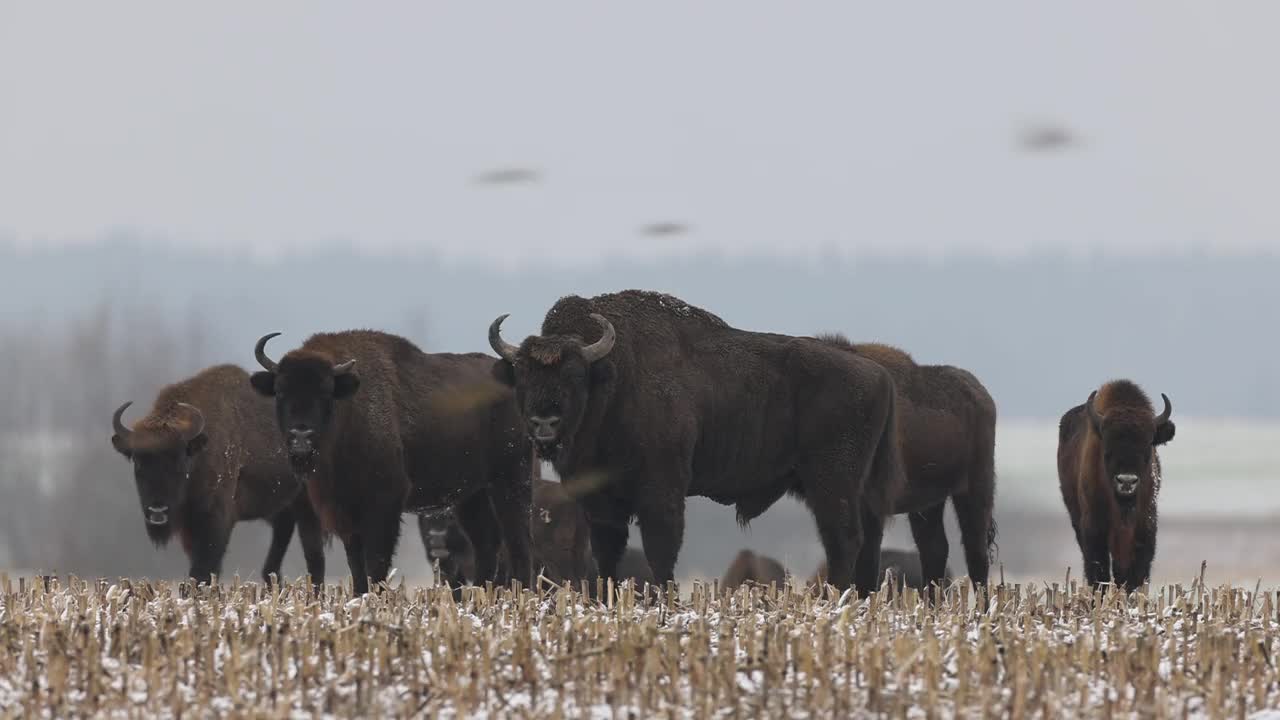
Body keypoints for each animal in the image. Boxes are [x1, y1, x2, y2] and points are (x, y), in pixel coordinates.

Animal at [110, 361, 327, 586]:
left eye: (180, 460)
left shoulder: (216, 521)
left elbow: (203, 571)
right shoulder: (190, 529)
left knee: (314, 555)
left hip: (306, 506)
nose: (157, 511)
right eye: (137, 461)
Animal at [249, 327, 535, 591]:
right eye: (280, 391)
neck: (350, 408)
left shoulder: (385, 503)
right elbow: (356, 565)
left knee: (518, 540)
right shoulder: (347, 513)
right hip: (472, 495)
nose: (301, 437)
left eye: (326, 392)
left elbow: (376, 562)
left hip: (510, 479)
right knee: (486, 544)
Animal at [483, 288, 906, 591]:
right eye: (523, 376)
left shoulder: (661, 489)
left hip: (831, 483)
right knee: (867, 541)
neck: (614, 377)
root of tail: (878, 374)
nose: (544, 423)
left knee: (844, 539)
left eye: (574, 376)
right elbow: (606, 554)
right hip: (857, 489)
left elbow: (661, 547)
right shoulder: (600, 502)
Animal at [1054, 379, 1172, 591]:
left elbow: (1136, 575)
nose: (1126, 481)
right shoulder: (1094, 530)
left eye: (1147, 447)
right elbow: (1099, 573)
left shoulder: (1145, 529)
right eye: (1107, 450)